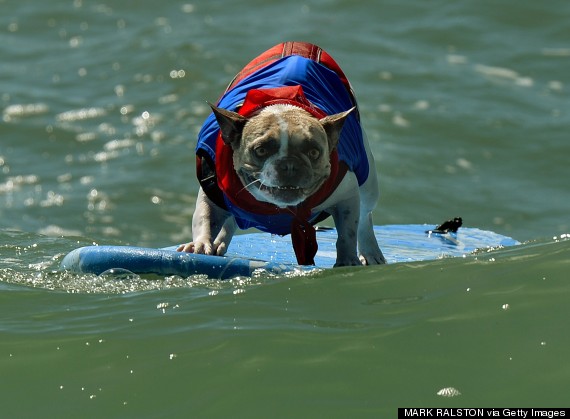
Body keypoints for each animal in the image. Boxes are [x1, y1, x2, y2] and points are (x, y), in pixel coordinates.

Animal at [178, 41, 384, 266]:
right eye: (261, 150)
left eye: (314, 152)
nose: (289, 164)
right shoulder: (211, 192)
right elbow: (205, 218)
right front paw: (200, 244)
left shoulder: (347, 195)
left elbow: (347, 231)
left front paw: (347, 258)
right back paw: (218, 243)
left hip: (368, 180)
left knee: (365, 216)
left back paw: (370, 252)